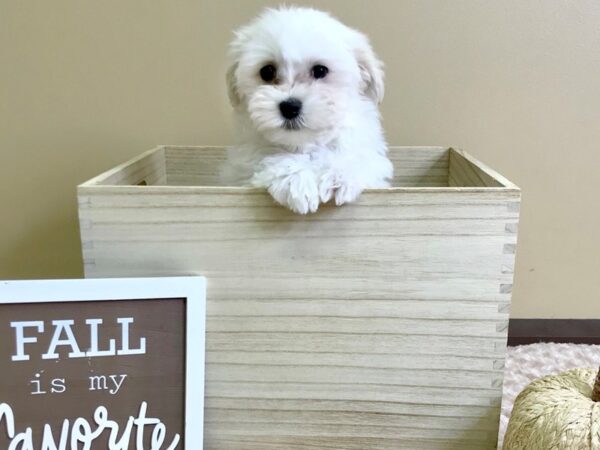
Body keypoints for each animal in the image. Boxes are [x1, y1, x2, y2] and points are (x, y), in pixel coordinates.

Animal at [221, 7, 394, 214]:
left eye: (320, 70)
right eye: (267, 71)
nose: (290, 107)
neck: (304, 146)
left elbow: (356, 157)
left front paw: (337, 175)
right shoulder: (244, 167)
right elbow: (271, 158)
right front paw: (297, 182)